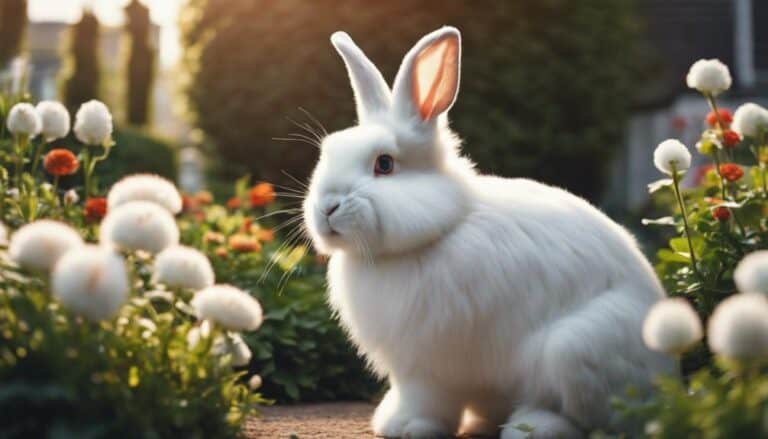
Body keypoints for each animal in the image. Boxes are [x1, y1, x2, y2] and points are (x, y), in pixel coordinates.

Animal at [302, 26, 674, 439]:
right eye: (328, 152)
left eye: (384, 164)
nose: (327, 208)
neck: (439, 228)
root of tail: (667, 381)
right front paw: (393, 421)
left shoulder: (429, 366)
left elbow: (427, 400)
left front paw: (410, 426)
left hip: (573, 351)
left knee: (585, 418)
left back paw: (531, 427)